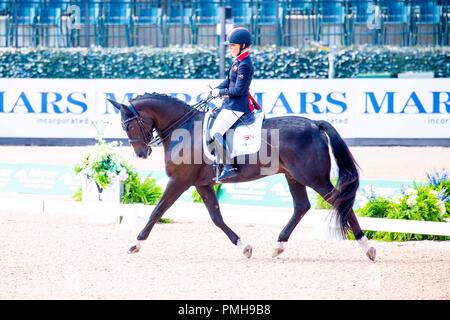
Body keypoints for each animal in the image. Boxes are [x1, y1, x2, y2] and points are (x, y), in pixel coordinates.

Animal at [110, 91, 376, 262]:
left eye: (128, 125)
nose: (141, 153)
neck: (183, 128)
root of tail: (314, 124)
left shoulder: (179, 181)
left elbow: (157, 211)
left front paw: (134, 244)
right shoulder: (202, 184)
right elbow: (216, 218)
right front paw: (244, 247)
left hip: (314, 178)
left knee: (339, 202)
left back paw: (367, 247)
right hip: (294, 176)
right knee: (302, 206)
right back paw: (278, 246)